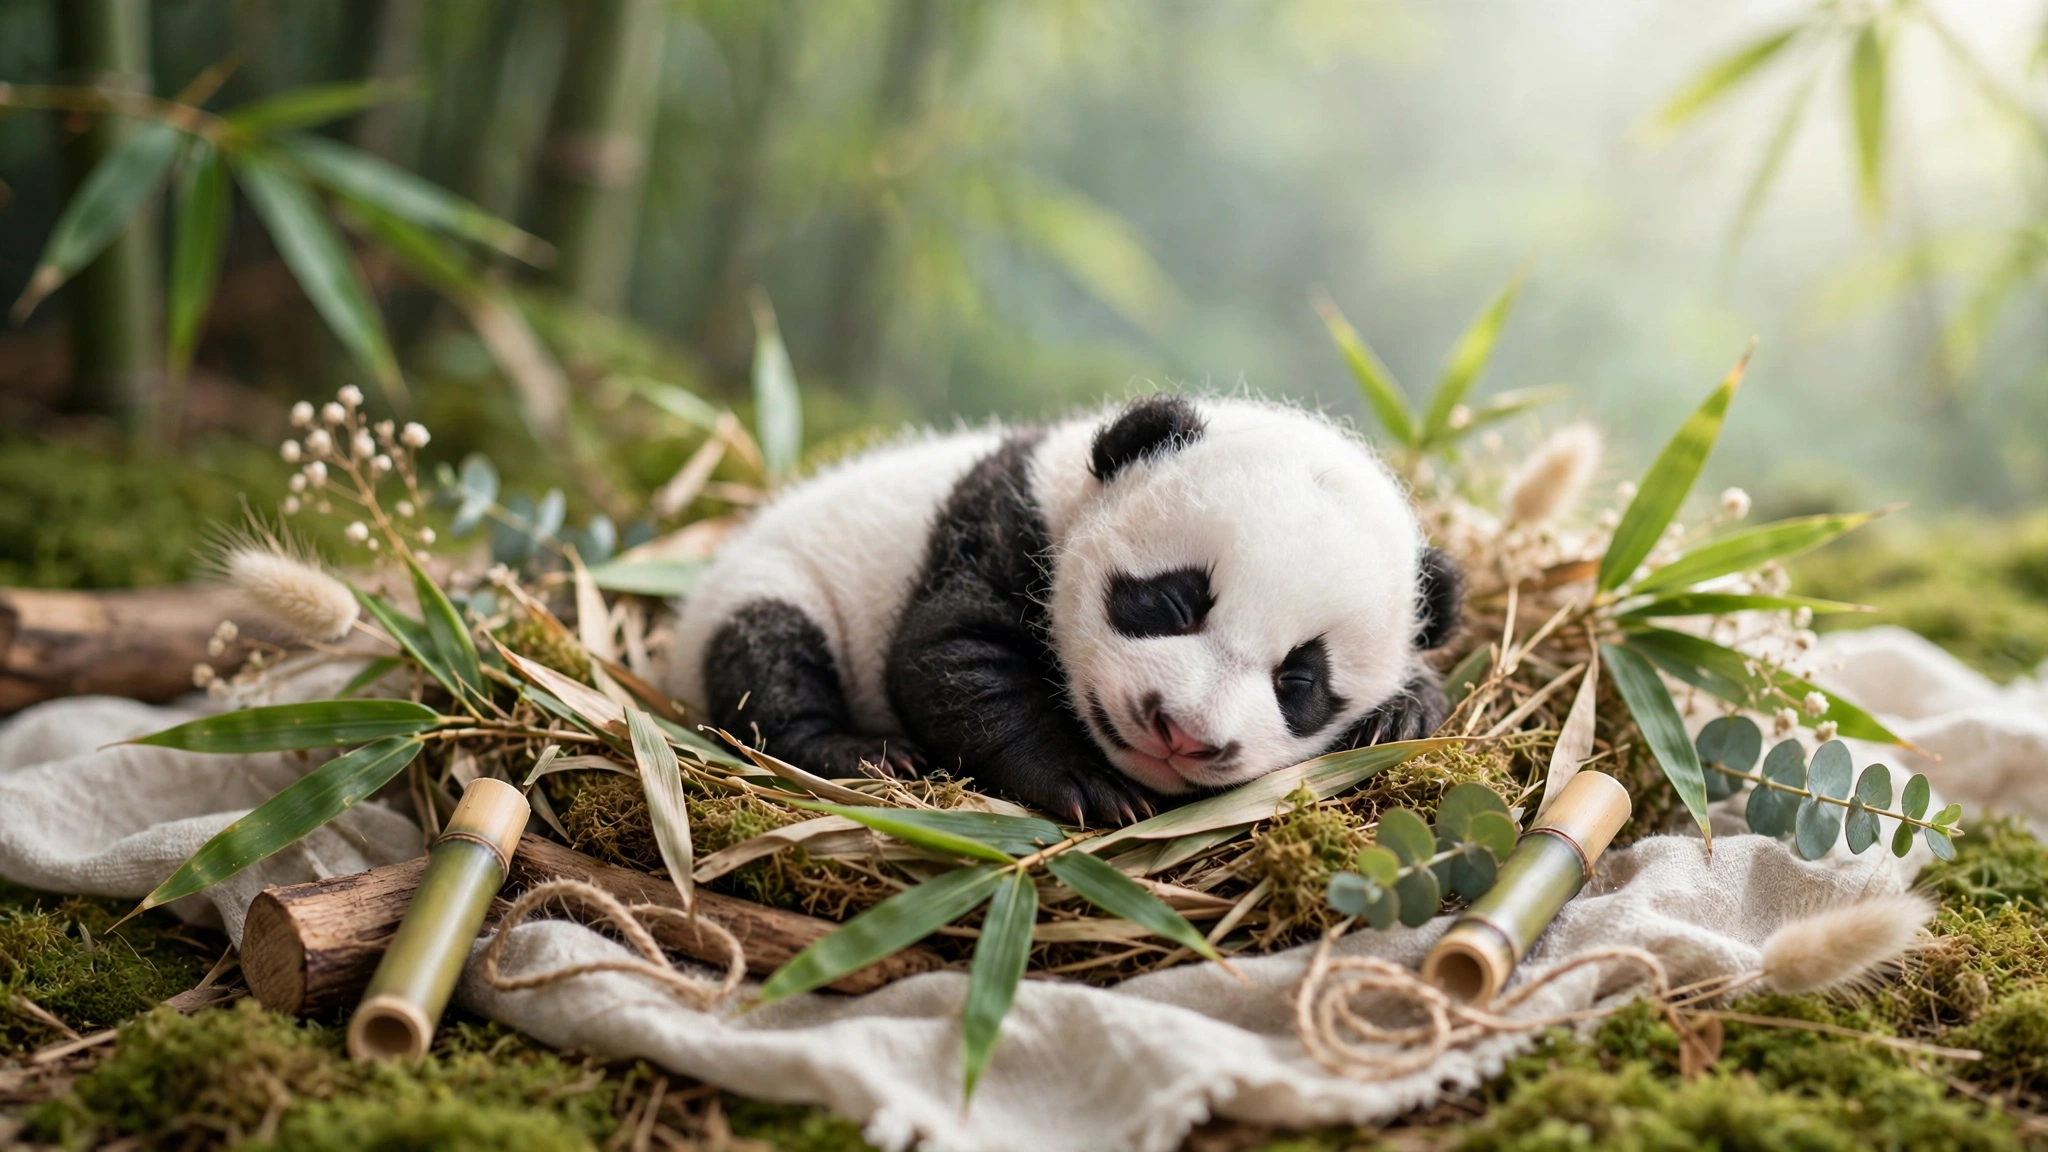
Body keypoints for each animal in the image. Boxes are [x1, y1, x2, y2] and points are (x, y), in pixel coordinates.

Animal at [663, 393, 1463, 827]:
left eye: (1299, 683)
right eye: (1172, 602)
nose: (1183, 733)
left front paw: (1401, 714)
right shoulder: (1001, 521)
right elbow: (948, 658)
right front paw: (1088, 785)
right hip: (771, 579)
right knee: (766, 661)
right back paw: (858, 751)